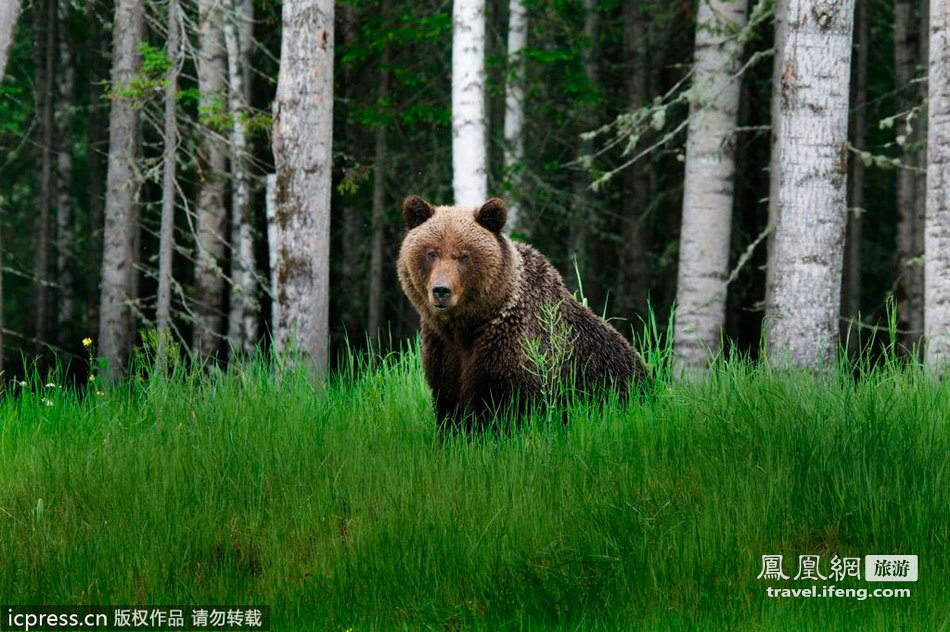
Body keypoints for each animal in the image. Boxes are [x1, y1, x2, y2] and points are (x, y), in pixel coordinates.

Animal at [398, 194, 644, 430]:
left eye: (464, 255)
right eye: (432, 253)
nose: (441, 290)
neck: (470, 324)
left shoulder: (513, 347)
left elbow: (502, 408)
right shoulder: (443, 350)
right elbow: (449, 403)